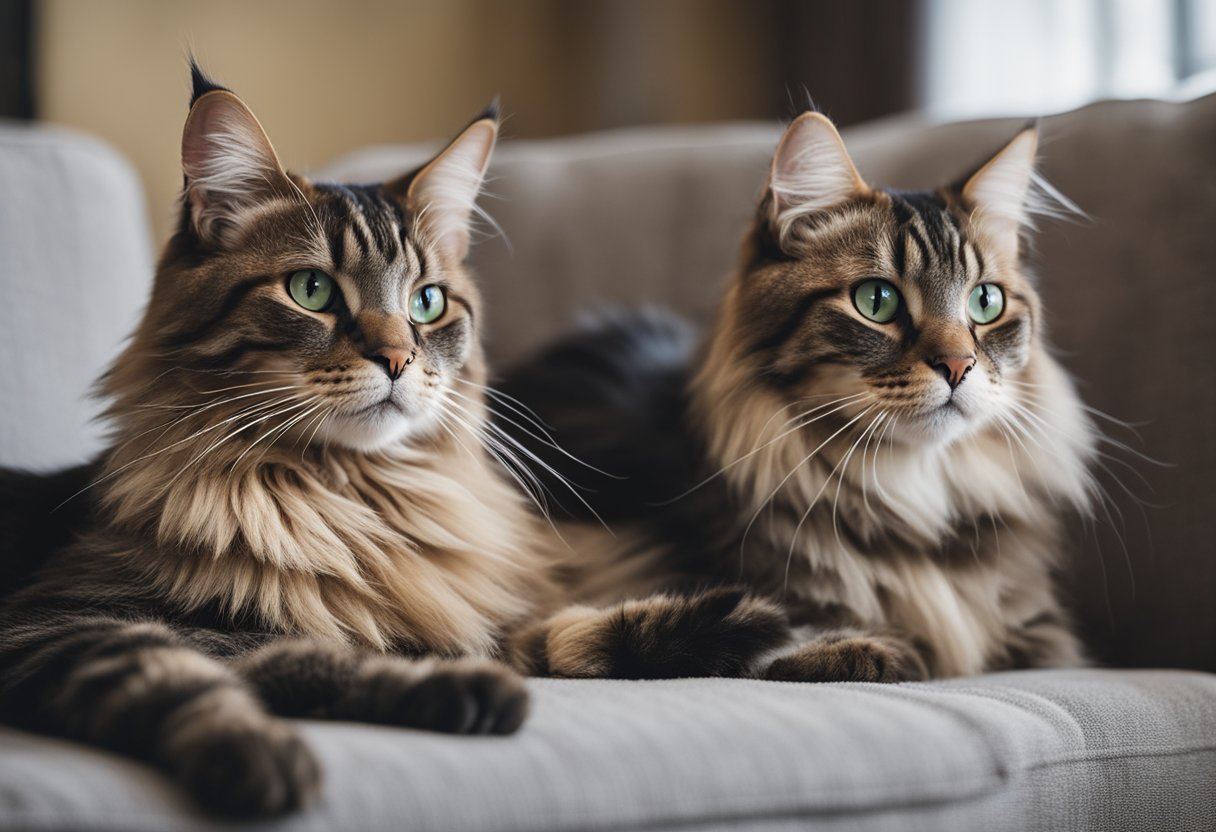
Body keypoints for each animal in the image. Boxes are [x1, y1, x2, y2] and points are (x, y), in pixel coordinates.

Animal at [0, 65, 552, 817]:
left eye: (428, 303)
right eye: (311, 290)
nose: (399, 358)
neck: (342, 502)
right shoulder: (56, 619)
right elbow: (203, 666)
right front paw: (260, 757)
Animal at [503, 110, 1094, 681]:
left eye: (986, 302)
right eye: (876, 300)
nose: (958, 365)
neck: (909, 494)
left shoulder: (1043, 638)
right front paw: (854, 647)